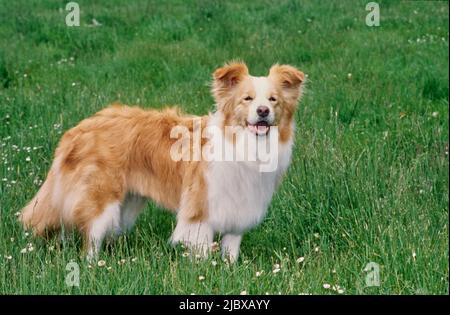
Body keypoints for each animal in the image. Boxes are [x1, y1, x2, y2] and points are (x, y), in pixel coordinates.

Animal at [19, 61, 304, 262]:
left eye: (273, 100)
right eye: (247, 99)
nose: (263, 112)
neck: (244, 143)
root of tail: (77, 129)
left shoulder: (239, 207)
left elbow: (231, 250)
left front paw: (229, 270)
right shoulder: (199, 212)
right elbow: (201, 252)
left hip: (127, 201)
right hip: (101, 198)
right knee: (91, 236)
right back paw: (92, 266)